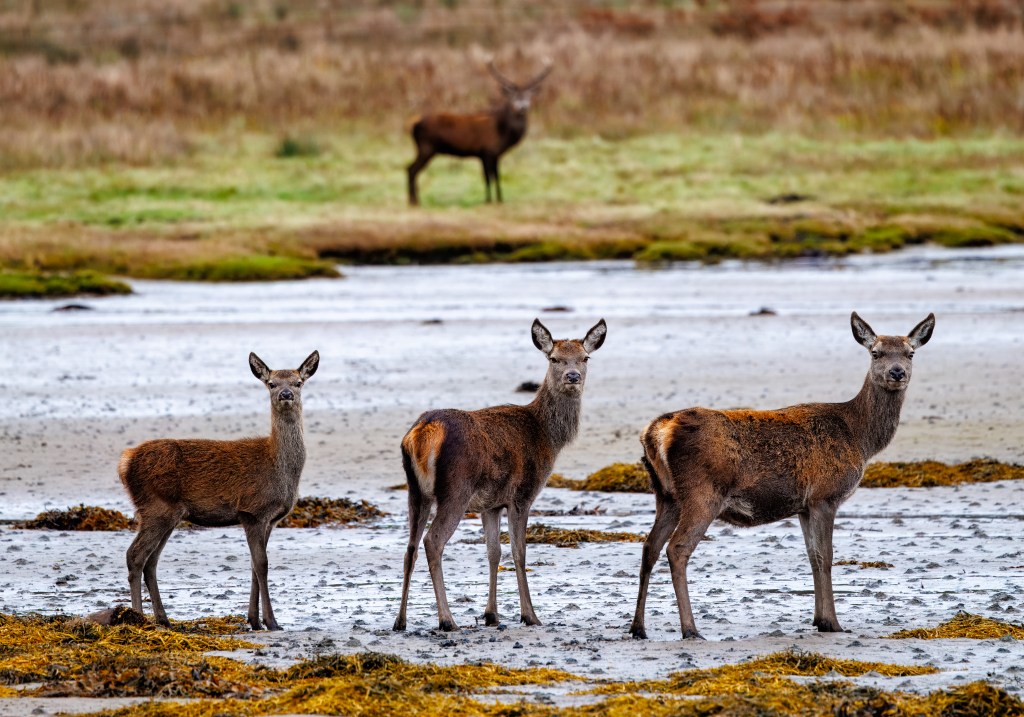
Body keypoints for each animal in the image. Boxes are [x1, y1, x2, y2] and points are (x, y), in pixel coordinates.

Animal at [118, 350, 319, 631]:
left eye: (298, 382)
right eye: (271, 384)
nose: (286, 394)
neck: (280, 468)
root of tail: (125, 462)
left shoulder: (269, 519)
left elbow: (254, 565)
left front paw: (254, 620)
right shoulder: (252, 510)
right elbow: (262, 564)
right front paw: (271, 622)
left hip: (167, 514)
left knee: (151, 562)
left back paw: (163, 619)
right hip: (156, 506)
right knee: (135, 556)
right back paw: (137, 618)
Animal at [393, 318, 607, 632]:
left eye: (585, 357)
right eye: (554, 358)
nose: (572, 376)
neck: (547, 436)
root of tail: (423, 433)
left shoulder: (490, 504)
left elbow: (493, 552)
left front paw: (491, 614)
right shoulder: (522, 494)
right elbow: (519, 552)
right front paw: (530, 615)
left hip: (415, 490)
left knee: (409, 547)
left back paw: (400, 620)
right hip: (456, 488)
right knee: (433, 541)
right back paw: (447, 620)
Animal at [406, 60, 553, 206]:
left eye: (529, 95)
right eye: (513, 96)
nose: (523, 106)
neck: (502, 134)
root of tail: (413, 124)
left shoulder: (493, 154)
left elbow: (496, 176)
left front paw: (500, 199)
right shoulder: (487, 151)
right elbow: (488, 178)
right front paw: (488, 200)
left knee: (410, 168)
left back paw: (414, 200)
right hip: (426, 147)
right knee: (411, 169)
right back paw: (414, 201)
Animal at [630, 312, 935, 640]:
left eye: (910, 353)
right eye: (875, 352)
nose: (897, 372)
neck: (860, 438)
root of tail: (657, 431)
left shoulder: (803, 506)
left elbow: (812, 557)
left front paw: (818, 619)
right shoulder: (825, 495)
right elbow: (826, 556)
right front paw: (834, 623)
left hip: (666, 494)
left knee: (649, 547)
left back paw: (638, 627)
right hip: (703, 492)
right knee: (677, 549)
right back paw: (690, 629)